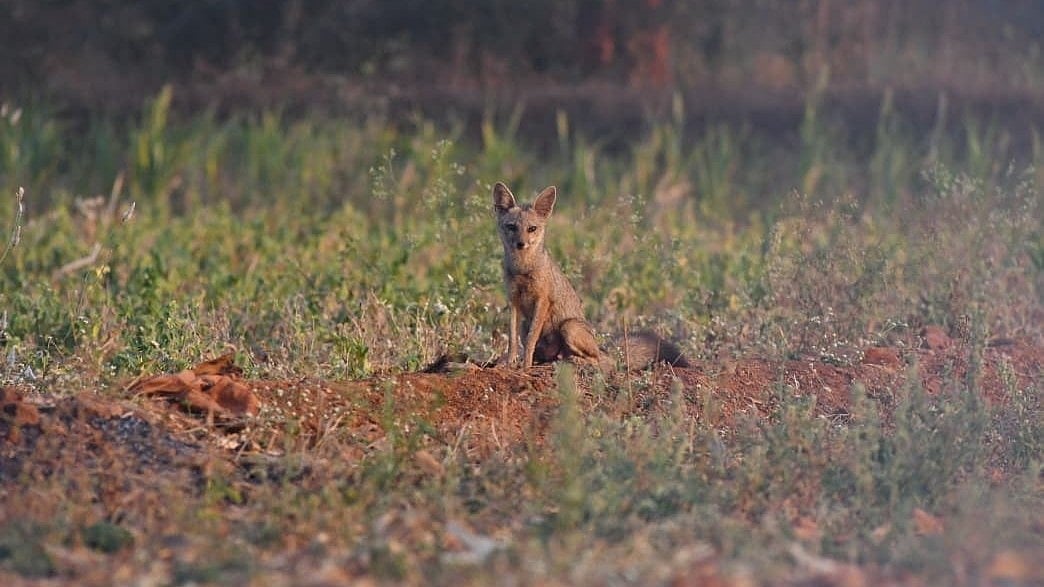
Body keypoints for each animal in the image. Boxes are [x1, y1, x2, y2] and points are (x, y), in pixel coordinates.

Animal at [492, 181, 689, 370]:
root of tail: (603, 349)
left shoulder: (542, 301)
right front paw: (511, 363)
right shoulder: (514, 301)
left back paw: (574, 361)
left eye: (532, 228)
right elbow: (512, 340)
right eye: (511, 227)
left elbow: (531, 339)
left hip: (569, 327)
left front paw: (525, 366)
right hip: (528, 325)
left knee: (596, 359)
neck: (522, 269)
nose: (521, 244)